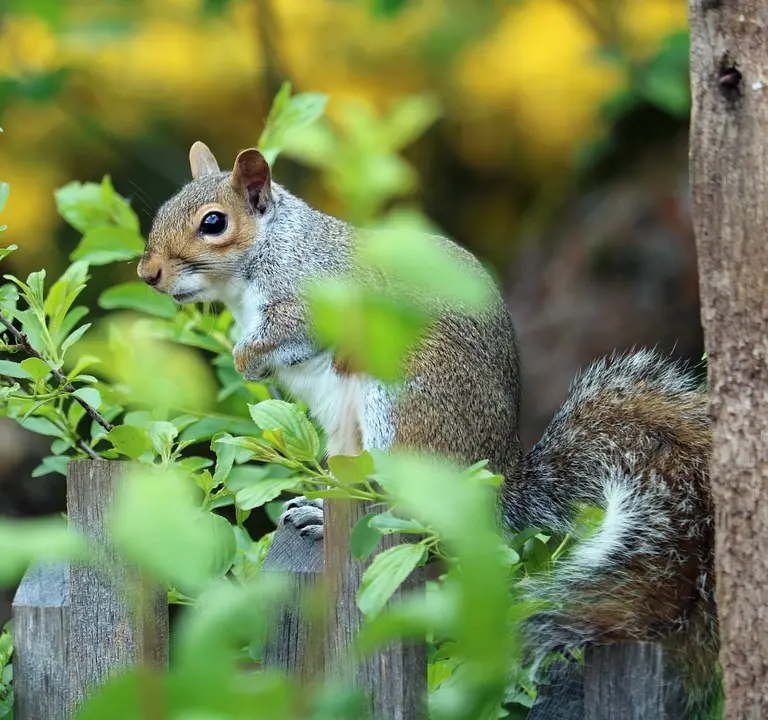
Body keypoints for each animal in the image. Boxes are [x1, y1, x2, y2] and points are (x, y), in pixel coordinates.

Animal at [140, 141, 720, 716]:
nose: (149, 274)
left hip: (399, 407)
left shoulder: (317, 297)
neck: (270, 251)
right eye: (163, 208)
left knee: (414, 515)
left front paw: (246, 358)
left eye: (213, 223)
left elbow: (290, 332)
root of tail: (500, 481)